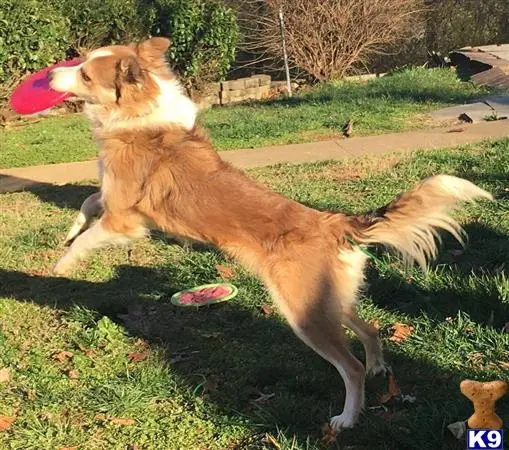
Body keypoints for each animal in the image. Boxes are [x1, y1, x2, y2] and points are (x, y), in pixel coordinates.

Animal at [48, 37, 492, 432]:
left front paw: (63, 263)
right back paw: (379, 366)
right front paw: (68, 232)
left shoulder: (127, 220)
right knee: (369, 329)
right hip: (330, 302)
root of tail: (333, 222)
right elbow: (87, 203)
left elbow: (89, 234)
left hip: (303, 313)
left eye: (84, 74)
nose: (51, 74)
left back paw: (348, 418)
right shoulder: (111, 201)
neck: (141, 113)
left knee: (350, 367)